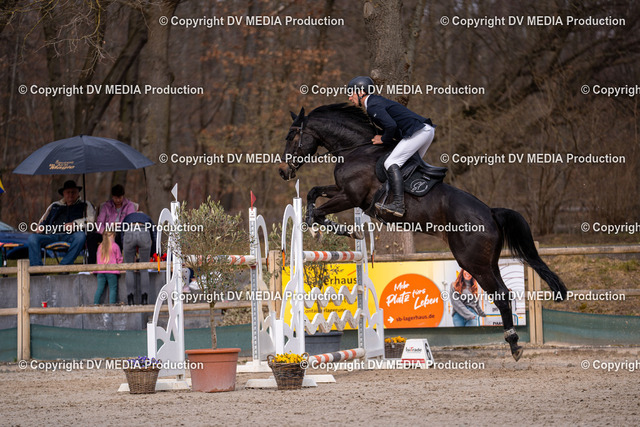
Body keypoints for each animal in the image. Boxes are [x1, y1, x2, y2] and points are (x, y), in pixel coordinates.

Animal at [278, 103, 567, 361]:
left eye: (291, 136)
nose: (282, 171)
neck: (358, 150)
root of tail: (491, 213)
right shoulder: (343, 192)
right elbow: (313, 192)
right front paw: (320, 225)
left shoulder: (351, 196)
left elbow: (318, 207)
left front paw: (329, 228)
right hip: (488, 261)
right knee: (503, 292)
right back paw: (513, 342)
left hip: (473, 261)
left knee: (501, 295)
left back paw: (514, 344)